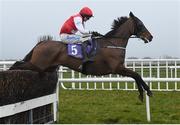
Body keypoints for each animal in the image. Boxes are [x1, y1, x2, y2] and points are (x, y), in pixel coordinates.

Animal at [10, 11, 153, 101]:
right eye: (140, 24)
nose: (150, 36)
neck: (112, 44)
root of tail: (41, 43)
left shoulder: (120, 68)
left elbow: (135, 76)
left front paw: (142, 93)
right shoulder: (117, 68)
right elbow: (136, 75)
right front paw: (147, 91)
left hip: (47, 68)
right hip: (38, 64)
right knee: (18, 64)